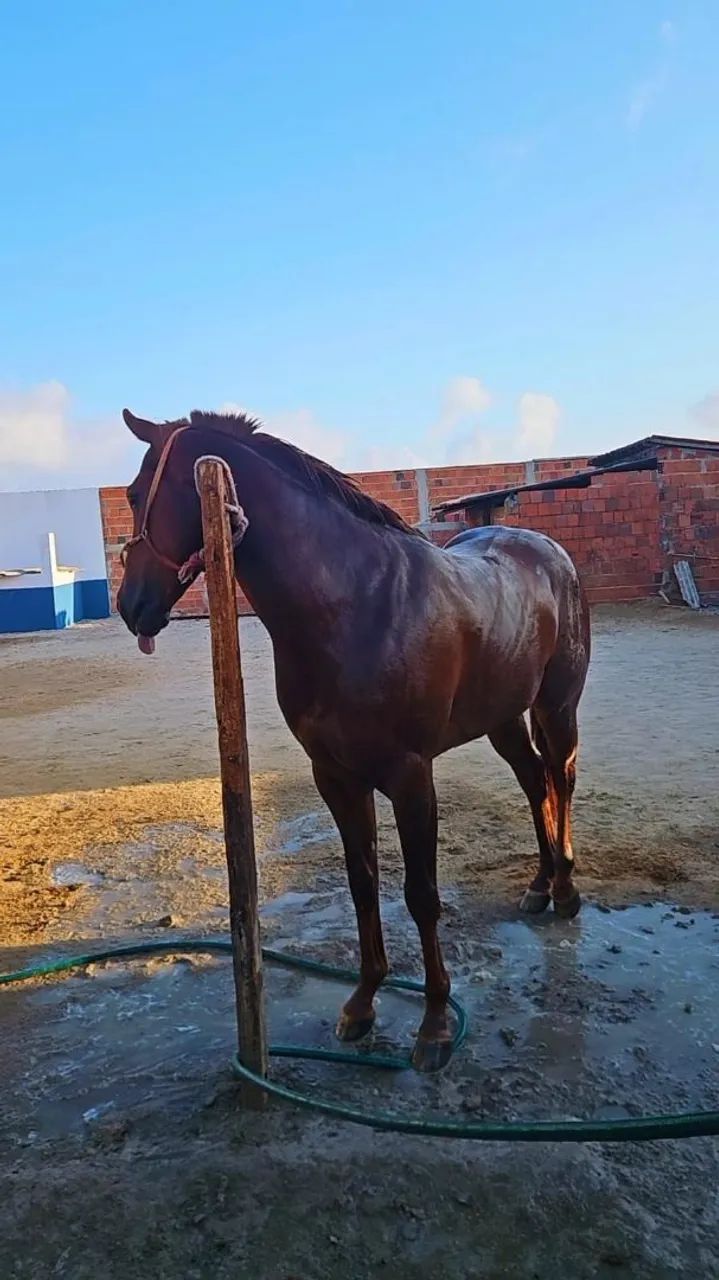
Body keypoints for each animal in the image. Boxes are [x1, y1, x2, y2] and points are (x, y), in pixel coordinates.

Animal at [117, 408, 591, 1072]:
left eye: (137, 495)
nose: (129, 606)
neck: (353, 605)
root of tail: (548, 550)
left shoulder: (411, 777)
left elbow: (421, 894)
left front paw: (435, 1025)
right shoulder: (336, 775)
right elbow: (362, 883)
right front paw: (363, 1003)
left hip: (556, 704)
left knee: (561, 778)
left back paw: (567, 889)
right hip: (502, 718)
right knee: (532, 782)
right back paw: (540, 885)